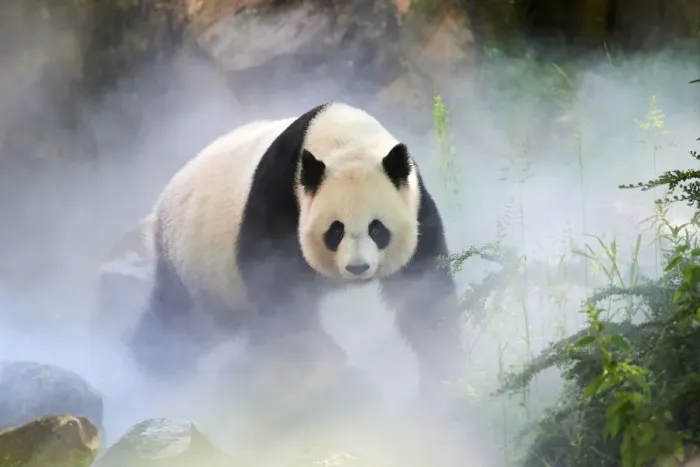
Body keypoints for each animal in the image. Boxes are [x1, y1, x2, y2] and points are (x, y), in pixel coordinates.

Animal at [128, 102, 464, 395]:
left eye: (377, 229)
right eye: (335, 230)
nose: (357, 268)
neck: (343, 138)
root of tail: (159, 208)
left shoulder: (417, 207)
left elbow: (424, 293)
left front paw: (442, 370)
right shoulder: (279, 202)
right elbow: (277, 289)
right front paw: (322, 355)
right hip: (189, 259)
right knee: (177, 314)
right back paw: (157, 362)